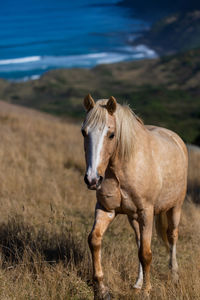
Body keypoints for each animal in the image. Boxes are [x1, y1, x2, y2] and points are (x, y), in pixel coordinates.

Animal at [81, 95, 188, 298]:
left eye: (111, 134)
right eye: (84, 132)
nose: (92, 179)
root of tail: (176, 138)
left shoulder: (146, 211)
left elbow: (146, 254)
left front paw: (147, 291)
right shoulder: (106, 209)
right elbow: (94, 240)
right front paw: (102, 289)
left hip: (175, 207)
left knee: (172, 237)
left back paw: (175, 276)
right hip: (134, 217)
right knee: (139, 241)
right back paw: (138, 283)